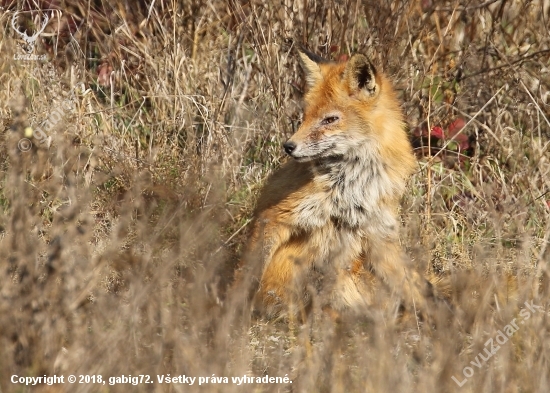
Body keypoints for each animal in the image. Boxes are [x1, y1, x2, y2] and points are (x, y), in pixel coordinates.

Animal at [245, 49, 432, 318]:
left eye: (330, 119)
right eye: (305, 116)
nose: (289, 146)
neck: (353, 184)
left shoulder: (375, 233)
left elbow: (416, 289)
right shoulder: (275, 215)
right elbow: (246, 275)